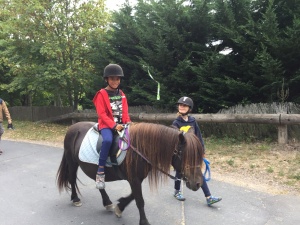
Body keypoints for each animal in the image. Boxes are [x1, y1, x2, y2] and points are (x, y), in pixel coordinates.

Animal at [55, 121, 204, 225]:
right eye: (185, 155)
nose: (198, 183)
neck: (139, 149)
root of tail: (73, 128)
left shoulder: (136, 179)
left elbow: (133, 196)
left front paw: (119, 207)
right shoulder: (134, 179)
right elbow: (140, 200)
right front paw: (144, 222)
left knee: (98, 183)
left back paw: (107, 202)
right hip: (72, 162)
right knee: (72, 179)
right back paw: (75, 199)